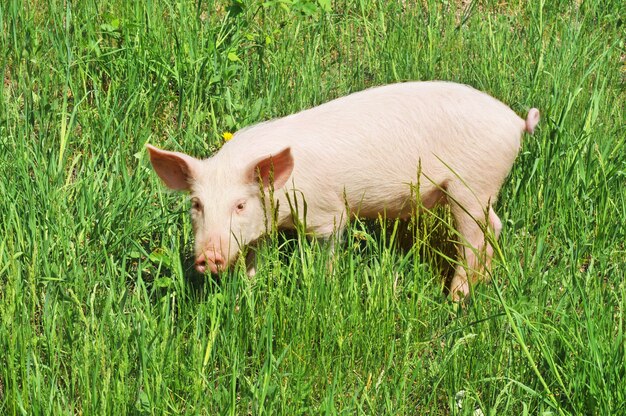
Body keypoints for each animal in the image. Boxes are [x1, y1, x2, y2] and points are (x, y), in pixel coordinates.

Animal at [149, 81, 540, 300]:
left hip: (470, 184)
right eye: (196, 204)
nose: (208, 257)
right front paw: (248, 289)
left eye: (241, 205)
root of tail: (515, 122)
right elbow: (253, 258)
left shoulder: (329, 213)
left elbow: (328, 252)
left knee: (476, 237)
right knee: (493, 227)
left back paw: (455, 301)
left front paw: (324, 286)